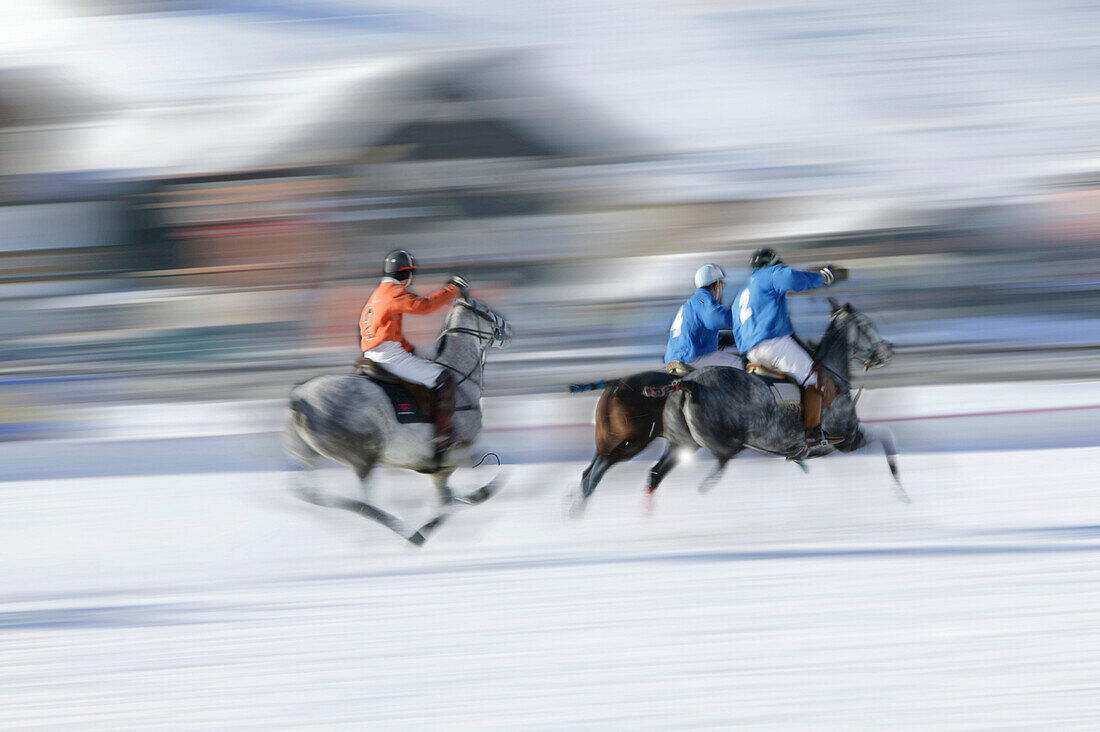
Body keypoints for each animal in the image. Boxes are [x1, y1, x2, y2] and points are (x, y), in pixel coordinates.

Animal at [281, 292, 508, 541]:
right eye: (485, 310)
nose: (507, 328)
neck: (460, 379)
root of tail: (299, 398)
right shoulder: (461, 452)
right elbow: (488, 484)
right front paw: (474, 497)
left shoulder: (441, 471)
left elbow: (446, 499)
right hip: (364, 455)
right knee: (364, 502)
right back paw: (403, 531)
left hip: (307, 455)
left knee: (312, 493)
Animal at [572, 297, 906, 512]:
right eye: (868, 325)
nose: (888, 350)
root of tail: (688, 383)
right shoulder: (847, 438)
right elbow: (888, 439)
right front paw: (901, 490)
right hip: (645, 441)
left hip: (666, 441)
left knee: (618, 474)